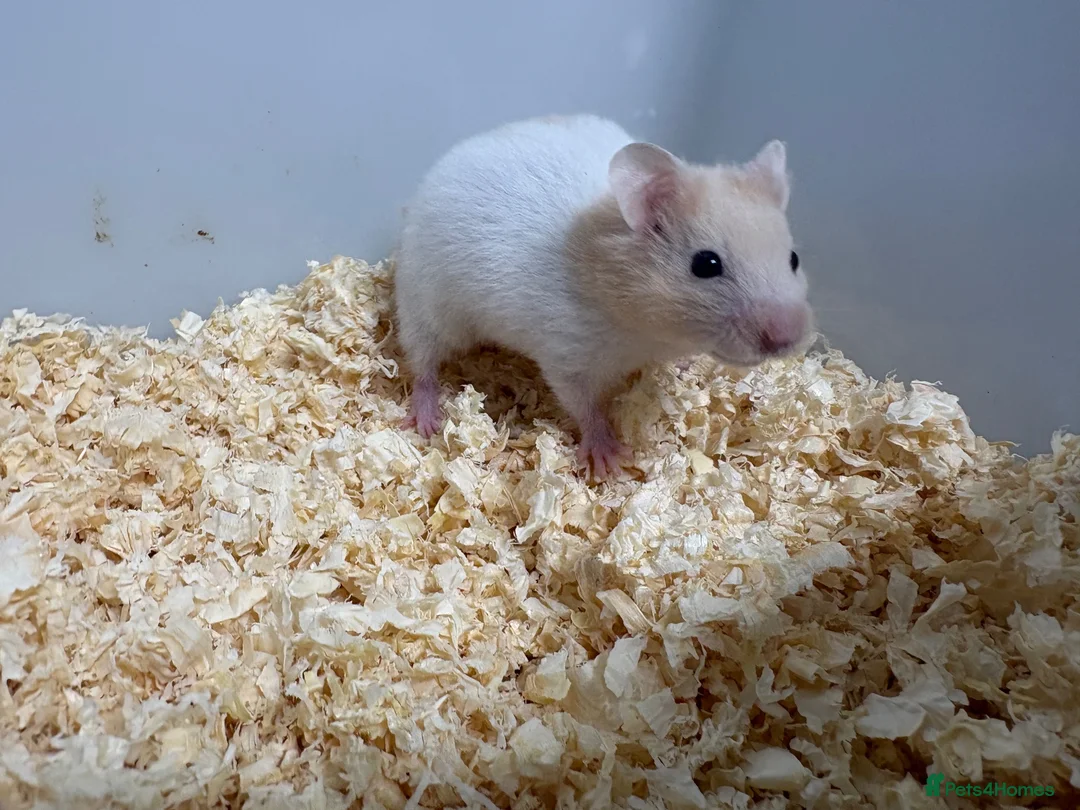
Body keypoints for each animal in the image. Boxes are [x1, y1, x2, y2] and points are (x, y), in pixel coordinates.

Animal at [394, 114, 813, 478]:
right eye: (706, 264)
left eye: (794, 258)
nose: (787, 339)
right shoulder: (567, 359)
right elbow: (586, 409)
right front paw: (611, 462)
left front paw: (684, 367)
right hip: (427, 306)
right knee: (423, 364)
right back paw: (426, 423)